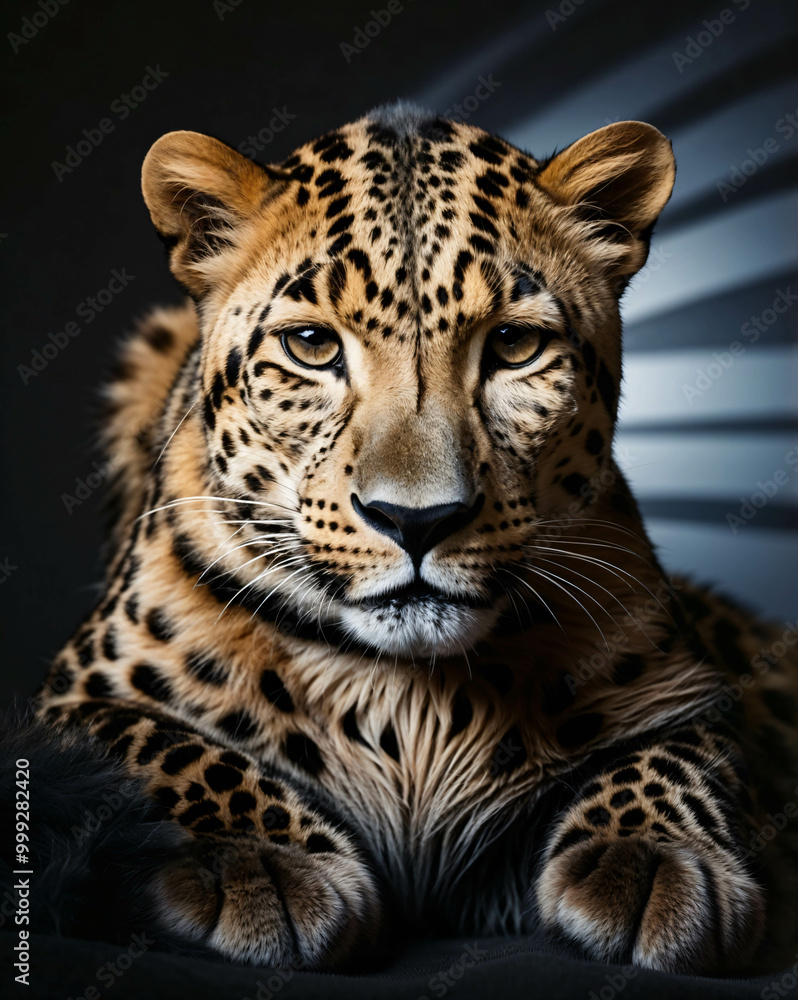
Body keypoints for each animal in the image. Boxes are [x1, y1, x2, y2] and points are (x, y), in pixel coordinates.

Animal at [36, 102, 798, 976]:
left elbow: (679, 755)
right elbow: (159, 743)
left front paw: (651, 859)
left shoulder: (697, 696)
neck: (413, 699)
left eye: (513, 347)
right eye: (311, 347)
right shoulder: (65, 703)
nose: (417, 521)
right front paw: (259, 861)